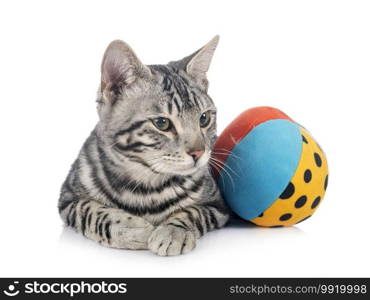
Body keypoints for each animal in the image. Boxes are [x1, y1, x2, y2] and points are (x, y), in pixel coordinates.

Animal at [58, 35, 228, 255]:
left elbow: (193, 212)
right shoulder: (67, 198)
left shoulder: (217, 204)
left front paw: (174, 231)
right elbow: (90, 211)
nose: (199, 152)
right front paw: (128, 227)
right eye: (162, 123)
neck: (147, 185)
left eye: (204, 118)